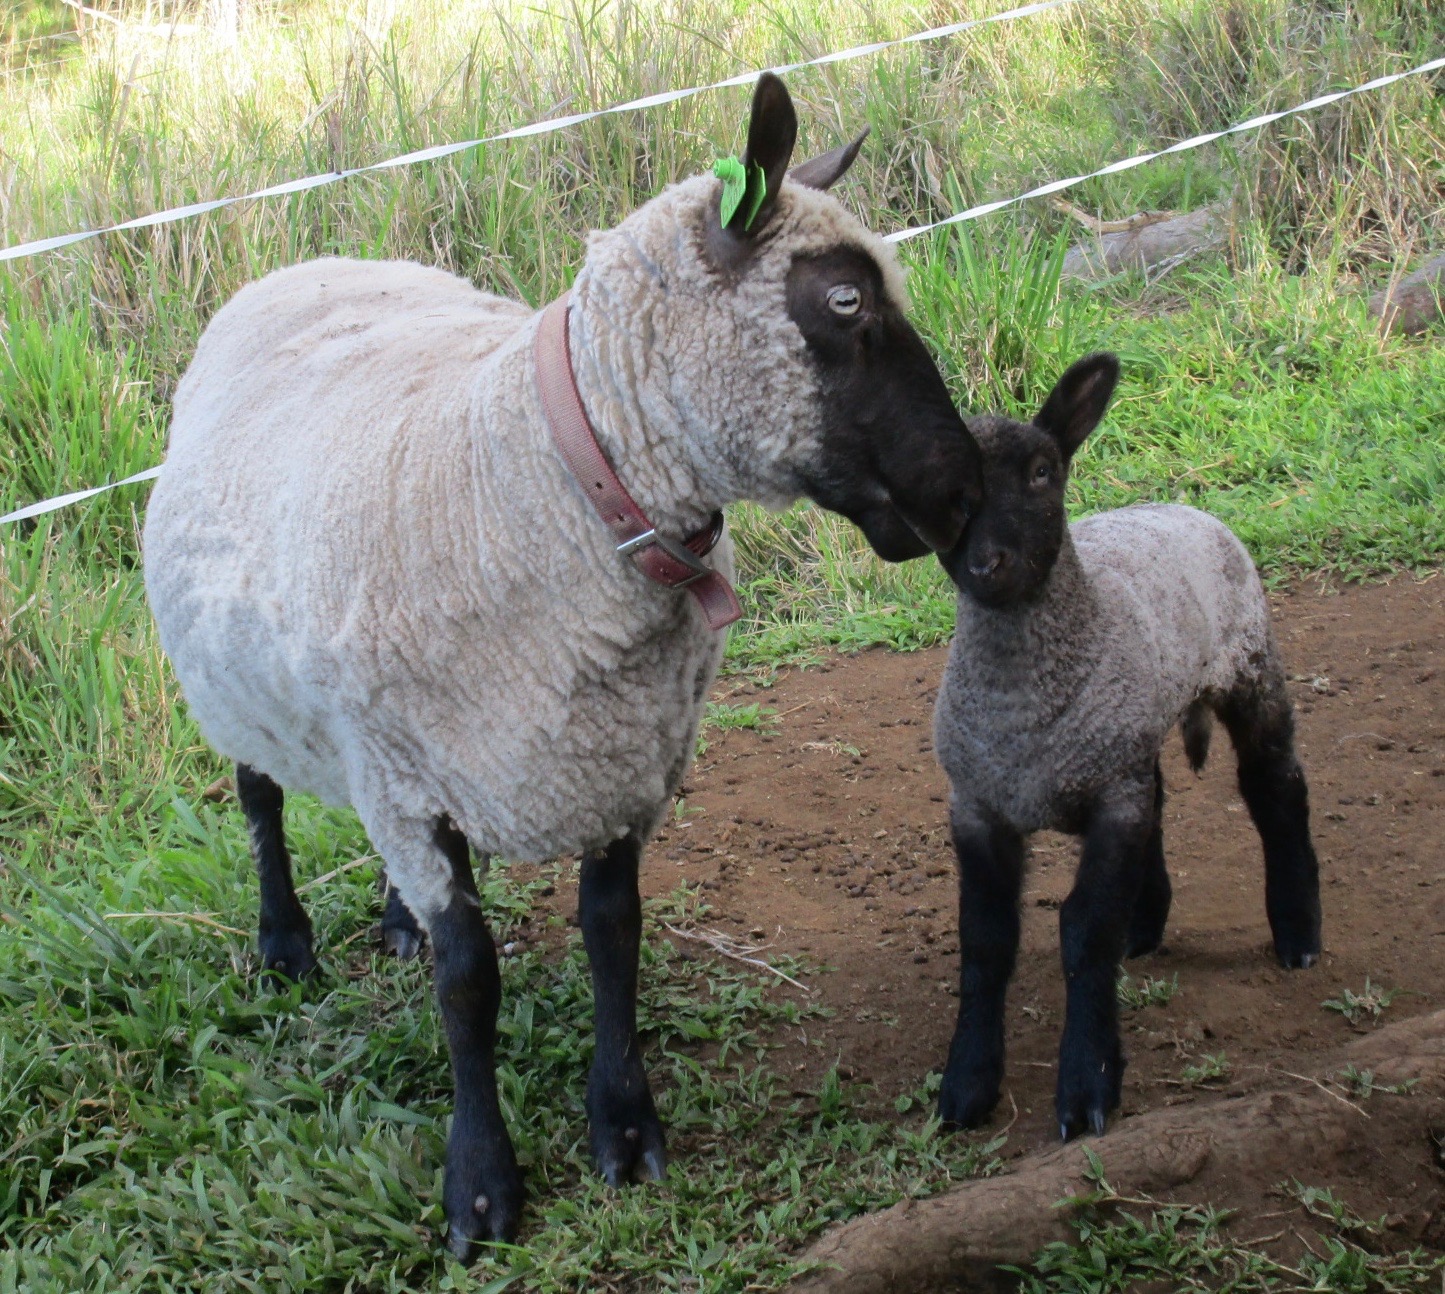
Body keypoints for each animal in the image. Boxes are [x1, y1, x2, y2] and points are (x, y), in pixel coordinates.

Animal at [143, 73, 982, 1253]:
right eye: (845, 303)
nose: (963, 497)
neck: (538, 478)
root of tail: (306, 264)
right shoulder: (413, 779)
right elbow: (468, 983)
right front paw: (481, 1186)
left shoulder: (621, 754)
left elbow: (610, 933)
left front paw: (623, 1129)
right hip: (240, 686)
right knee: (257, 793)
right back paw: (283, 945)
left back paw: (389, 922)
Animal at [924, 353, 1323, 1143]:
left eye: (1043, 472)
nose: (989, 564)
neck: (1028, 709)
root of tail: (1173, 502)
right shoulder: (980, 805)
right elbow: (984, 940)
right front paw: (967, 1085)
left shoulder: (1111, 798)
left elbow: (1084, 932)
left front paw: (1087, 1086)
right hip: (1132, 734)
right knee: (1162, 799)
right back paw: (1147, 923)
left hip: (1248, 663)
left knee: (1275, 788)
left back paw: (1297, 932)